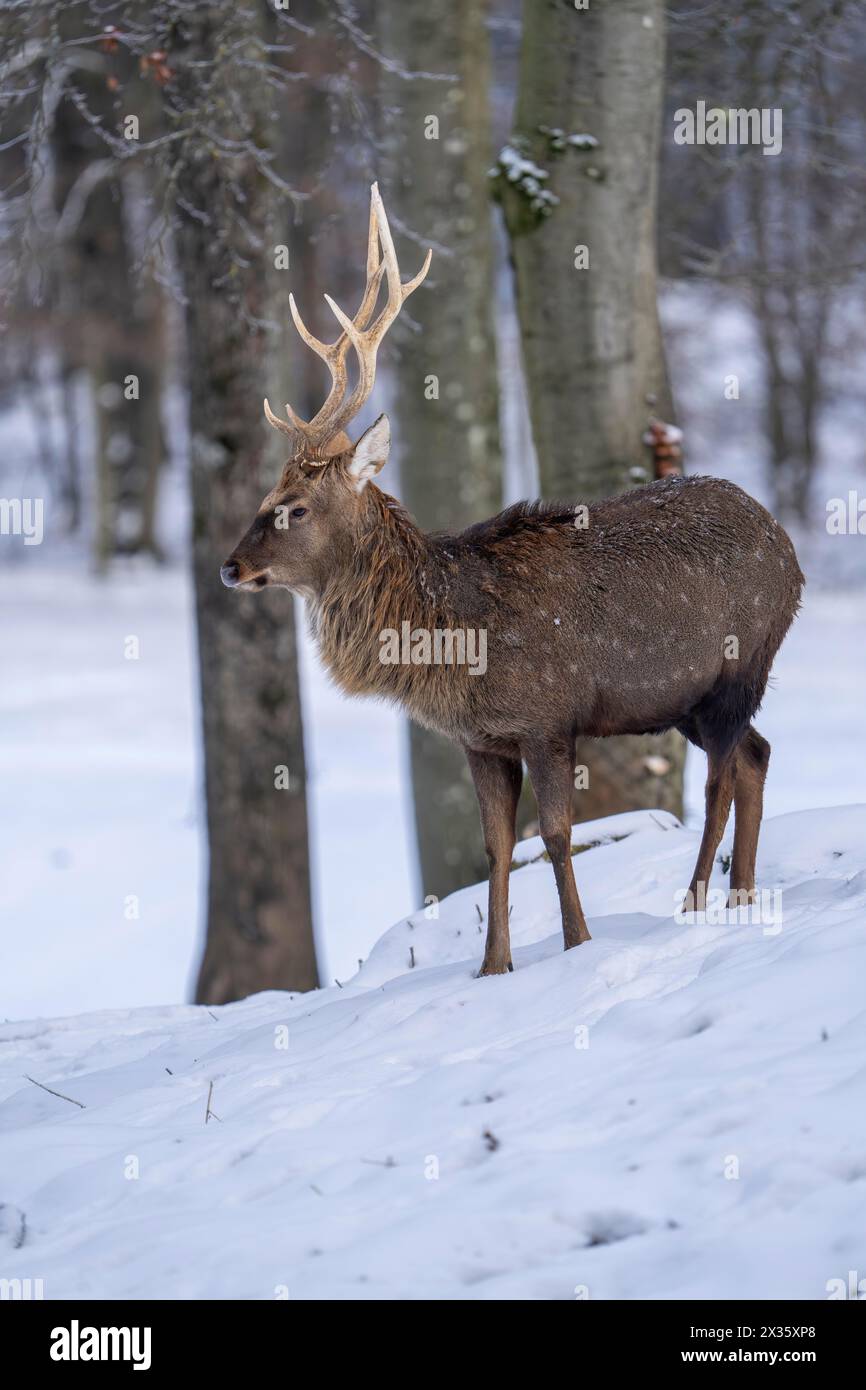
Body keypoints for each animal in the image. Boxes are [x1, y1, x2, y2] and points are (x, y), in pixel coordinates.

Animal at [219, 187, 800, 978]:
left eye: (296, 506)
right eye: (265, 496)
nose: (230, 565)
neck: (456, 640)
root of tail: (790, 549)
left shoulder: (548, 720)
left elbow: (554, 836)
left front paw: (578, 944)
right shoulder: (482, 741)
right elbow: (496, 848)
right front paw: (494, 966)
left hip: (741, 665)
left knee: (717, 781)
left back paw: (697, 903)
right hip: (686, 697)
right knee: (756, 756)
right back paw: (741, 897)